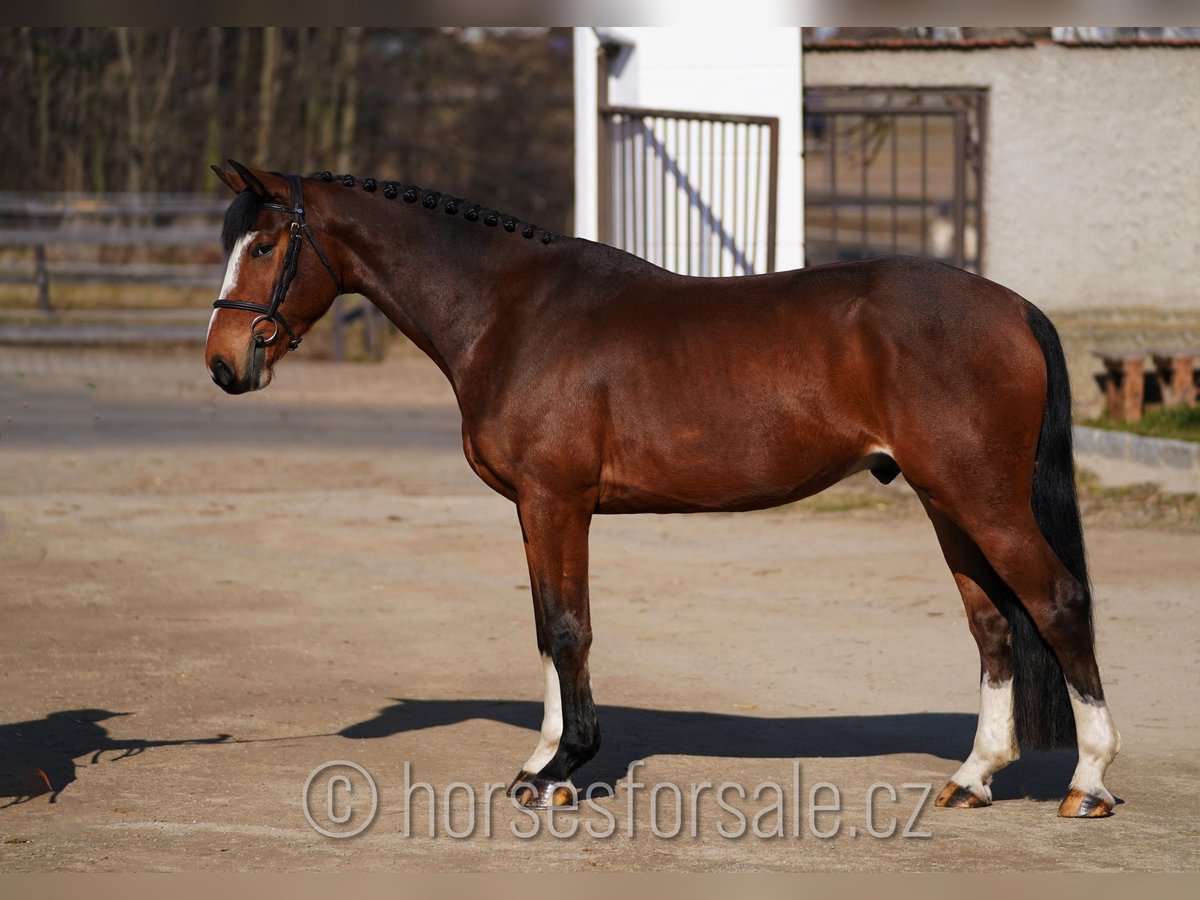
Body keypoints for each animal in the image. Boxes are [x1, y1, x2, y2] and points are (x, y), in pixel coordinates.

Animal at [201, 160, 1118, 816]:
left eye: (265, 246)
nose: (223, 363)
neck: (509, 313)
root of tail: (1013, 307)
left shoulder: (559, 501)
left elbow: (569, 629)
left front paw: (565, 769)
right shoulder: (535, 510)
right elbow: (545, 631)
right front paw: (542, 760)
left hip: (983, 500)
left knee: (1058, 602)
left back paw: (1089, 783)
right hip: (947, 502)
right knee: (993, 625)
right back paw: (974, 776)